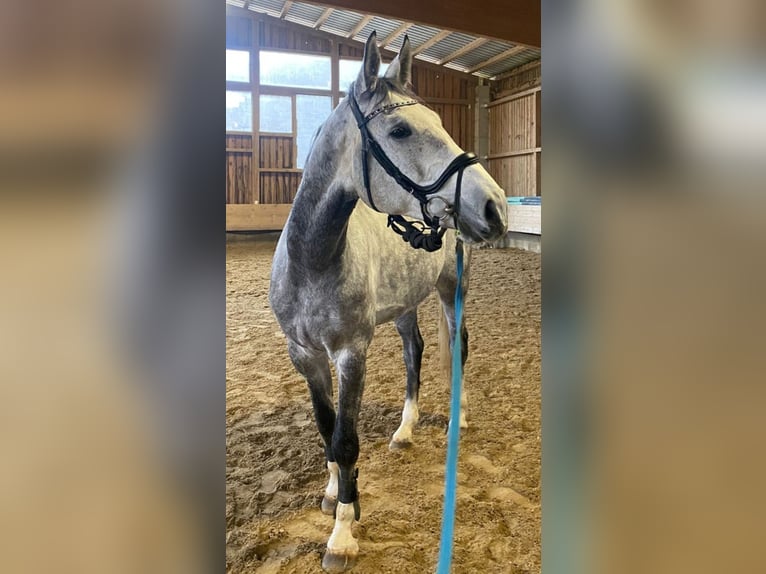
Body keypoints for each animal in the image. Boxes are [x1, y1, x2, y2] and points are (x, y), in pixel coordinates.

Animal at [270, 33, 510, 572]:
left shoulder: (351, 353)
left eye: (440, 121)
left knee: (458, 347)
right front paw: (335, 493)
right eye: (400, 130)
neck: (313, 262)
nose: (496, 206)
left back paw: (457, 420)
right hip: (404, 308)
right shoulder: (305, 355)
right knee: (414, 352)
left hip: (451, 291)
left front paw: (342, 533)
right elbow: (327, 428)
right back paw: (404, 430)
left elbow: (346, 439)